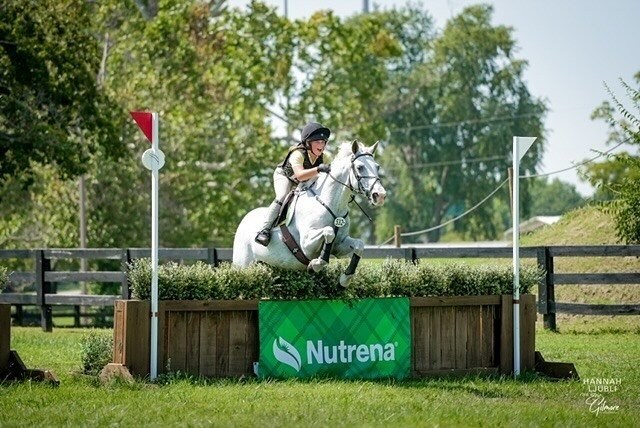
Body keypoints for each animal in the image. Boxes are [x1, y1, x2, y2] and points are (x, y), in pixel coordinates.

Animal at [234, 140, 388, 286]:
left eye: (377, 167)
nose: (380, 195)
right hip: (243, 264)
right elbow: (329, 232)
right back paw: (263, 236)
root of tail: (244, 220)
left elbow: (359, 245)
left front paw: (344, 279)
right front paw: (316, 265)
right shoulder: (306, 244)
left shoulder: (339, 245)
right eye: (360, 167)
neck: (331, 204)